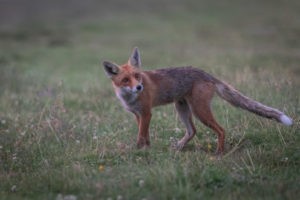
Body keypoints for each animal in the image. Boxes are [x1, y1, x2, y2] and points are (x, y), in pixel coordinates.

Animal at [103, 47, 292, 154]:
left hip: (199, 111)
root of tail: (205, 73)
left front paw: (138, 151)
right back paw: (179, 148)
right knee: (192, 131)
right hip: (182, 108)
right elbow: (144, 134)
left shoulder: (147, 113)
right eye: (125, 80)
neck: (129, 98)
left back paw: (219, 153)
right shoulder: (138, 115)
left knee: (221, 130)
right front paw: (147, 149)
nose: (139, 87)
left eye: (137, 76)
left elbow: (141, 135)